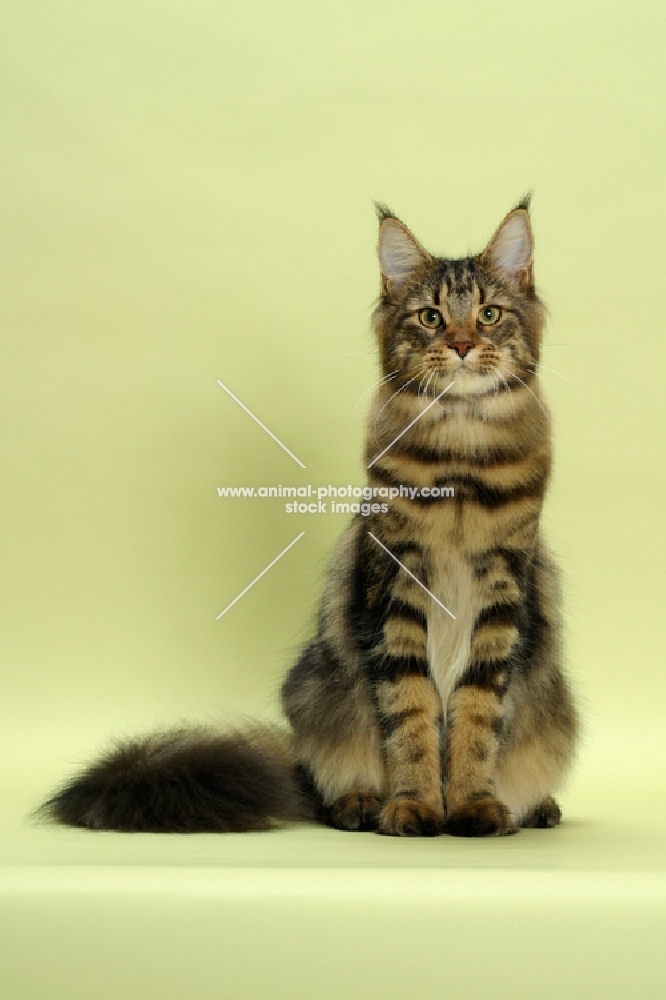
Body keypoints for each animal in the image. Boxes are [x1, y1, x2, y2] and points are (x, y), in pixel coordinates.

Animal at [44, 201, 580, 836]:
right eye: (430, 317)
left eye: (489, 314)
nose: (462, 345)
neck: (460, 458)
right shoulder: (396, 588)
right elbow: (411, 714)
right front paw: (416, 806)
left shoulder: (501, 593)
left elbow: (476, 716)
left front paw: (473, 806)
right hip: (316, 692)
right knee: (329, 783)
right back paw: (362, 804)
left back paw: (535, 807)